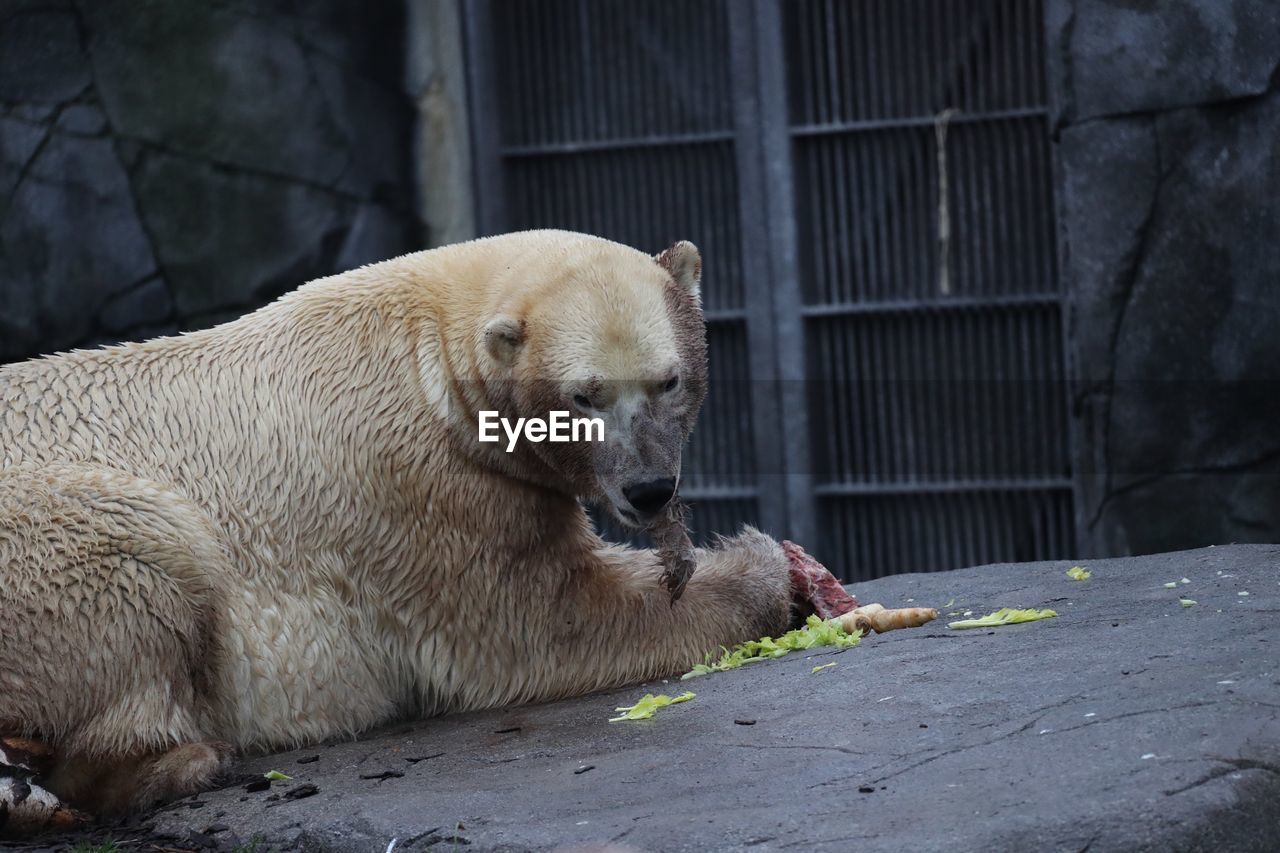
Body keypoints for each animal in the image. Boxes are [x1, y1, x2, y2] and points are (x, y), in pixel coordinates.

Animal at [0, 229, 808, 824]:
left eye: (669, 379)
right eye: (585, 395)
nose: (648, 488)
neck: (432, 348)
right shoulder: (418, 487)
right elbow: (541, 622)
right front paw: (766, 569)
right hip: (47, 541)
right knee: (143, 545)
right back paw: (179, 760)